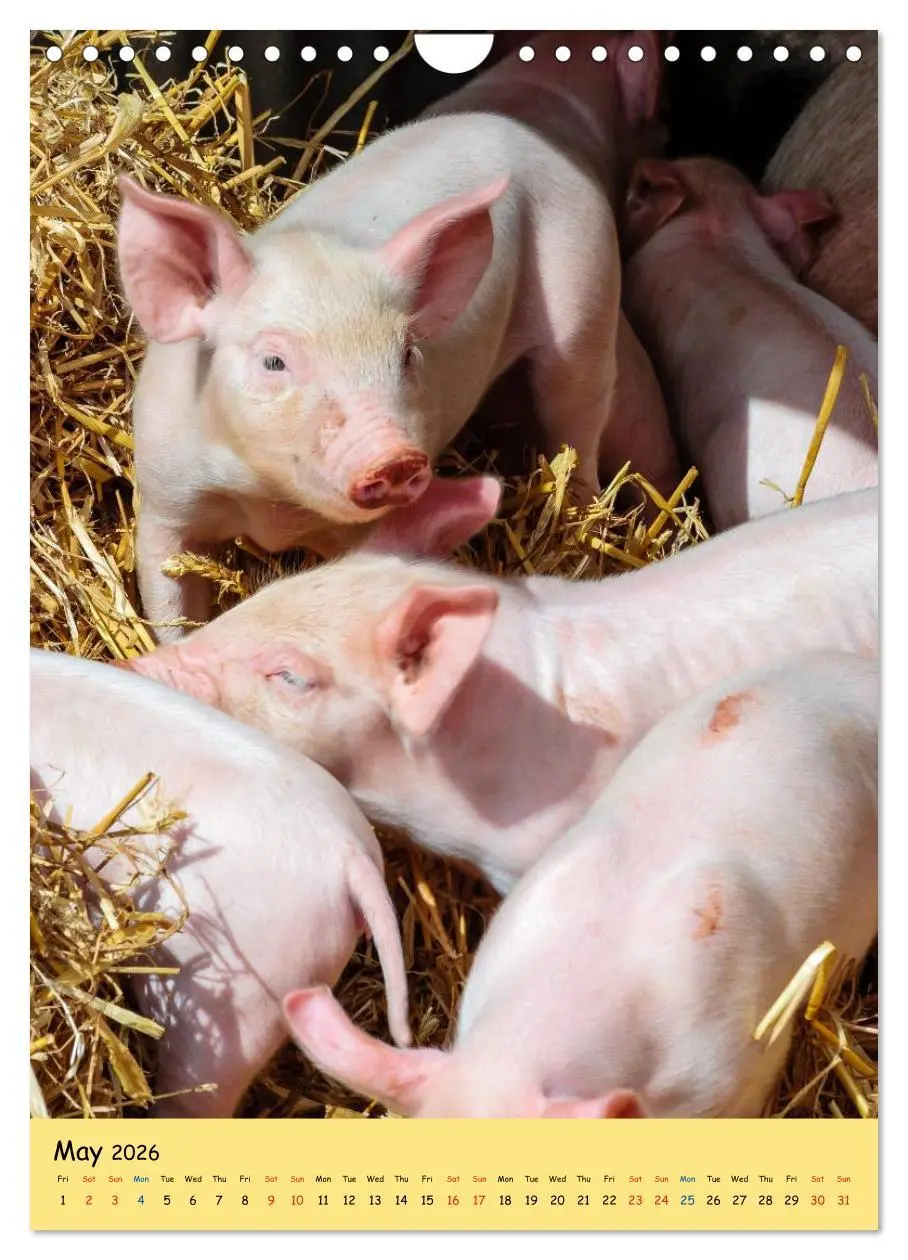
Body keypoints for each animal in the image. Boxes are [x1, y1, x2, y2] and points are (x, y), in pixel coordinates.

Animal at [117, 29, 677, 641]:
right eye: (273, 362)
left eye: (406, 355)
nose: (395, 458)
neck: (268, 502)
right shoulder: (163, 498)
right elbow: (169, 599)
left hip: (584, 294)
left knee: (576, 423)